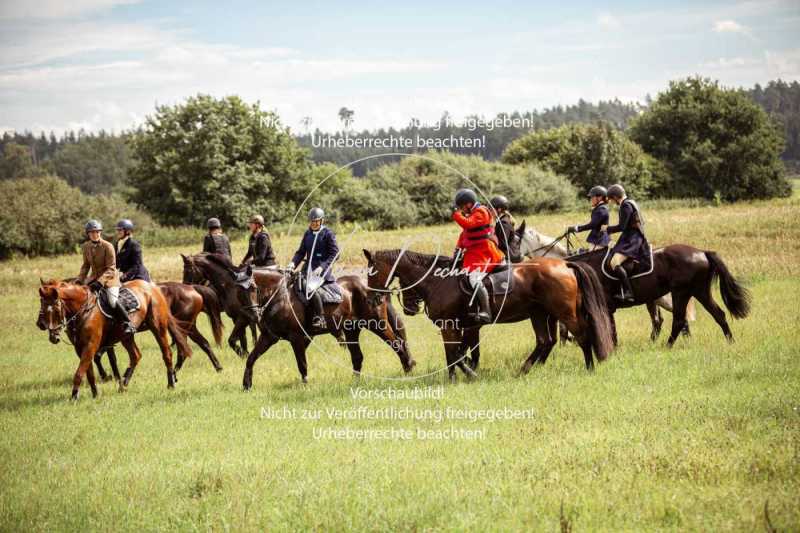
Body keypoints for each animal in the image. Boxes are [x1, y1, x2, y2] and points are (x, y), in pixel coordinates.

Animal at [36, 278, 192, 400]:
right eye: (41, 304)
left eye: (55, 309)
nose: (40, 325)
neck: (83, 310)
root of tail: (152, 286)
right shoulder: (80, 348)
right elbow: (89, 372)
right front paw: (95, 394)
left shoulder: (91, 345)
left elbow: (80, 372)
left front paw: (74, 396)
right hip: (126, 336)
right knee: (135, 355)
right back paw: (124, 383)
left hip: (158, 328)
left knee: (167, 354)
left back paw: (171, 383)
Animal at [239, 268, 416, 388]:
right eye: (238, 290)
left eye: (253, 287)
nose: (254, 315)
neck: (279, 296)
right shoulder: (269, 337)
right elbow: (251, 358)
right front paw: (246, 384)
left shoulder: (296, 337)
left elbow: (302, 363)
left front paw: (305, 385)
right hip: (352, 330)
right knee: (357, 357)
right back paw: (355, 382)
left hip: (377, 324)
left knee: (397, 344)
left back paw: (407, 369)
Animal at [362, 247, 612, 380]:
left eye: (371, 272)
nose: (371, 299)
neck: (438, 281)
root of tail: (565, 265)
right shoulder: (460, 327)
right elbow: (456, 353)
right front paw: (455, 377)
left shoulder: (451, 325)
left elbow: (455, 353)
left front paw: (466, 376)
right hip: (539, 314)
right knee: (545, 341)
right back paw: (524, 370)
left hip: (564, 312)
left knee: (582, 335)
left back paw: (589, 367)